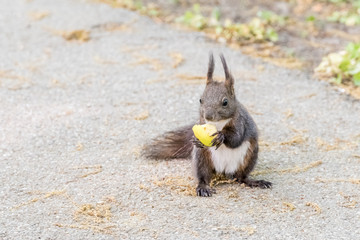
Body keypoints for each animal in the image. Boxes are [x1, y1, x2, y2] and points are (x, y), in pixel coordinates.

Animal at [143, 52, 270, 197]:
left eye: (225, 102)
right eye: (200, 100)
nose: (208, 116)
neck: (217, 123)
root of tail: (224, 171)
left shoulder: (241, 122)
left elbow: (236, 138)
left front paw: (221, 136)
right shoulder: (201, 121)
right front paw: (195, 139)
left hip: (250, 156)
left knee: (241, 177)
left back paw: (254, 182)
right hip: (201, 158)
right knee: (203, 176)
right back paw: (203, 187)